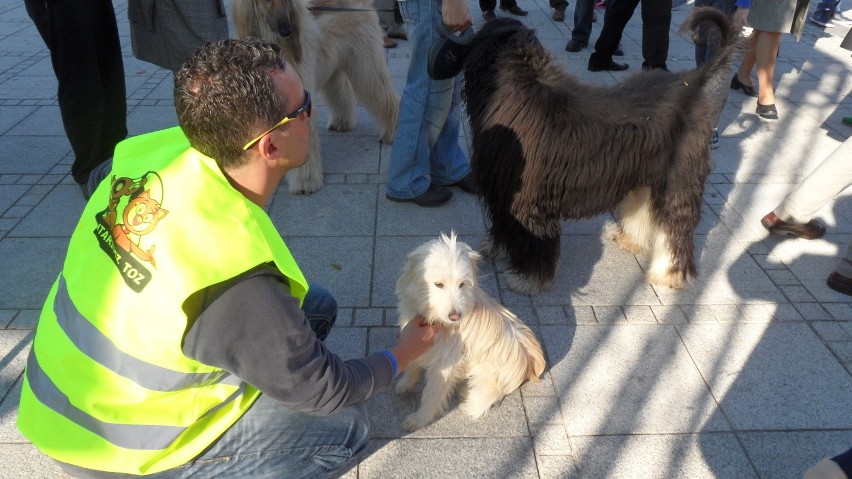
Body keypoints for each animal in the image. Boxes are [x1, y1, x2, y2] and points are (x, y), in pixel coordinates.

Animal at [231, 0, 402, 197]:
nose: (287, 31)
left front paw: (305, 181)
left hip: (365, 63)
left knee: (384, 95)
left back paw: (395, 131)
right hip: (333, 65)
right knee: (341, 91)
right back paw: (342, 122)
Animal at [394, 232, 544, 432]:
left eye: (462, 284)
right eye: (438, 284)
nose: (455, 316)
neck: (434, 317)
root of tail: (530, 361)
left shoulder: (445, 365)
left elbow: (431, 394)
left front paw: (419, 419)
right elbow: (412, 364)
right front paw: (405, 384)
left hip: (489, 381)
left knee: (482, 401)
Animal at [460, 10, 740, 296]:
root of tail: (691, 83)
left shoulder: (528, 200)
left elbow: (532, 239)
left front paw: (527, 279)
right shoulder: (502, 189)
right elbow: (503, 223)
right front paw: (499, 249)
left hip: (677, 180)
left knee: (675, 227)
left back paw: (668, 274)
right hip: (645, 174)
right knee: (644, 208)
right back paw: (631, 240)